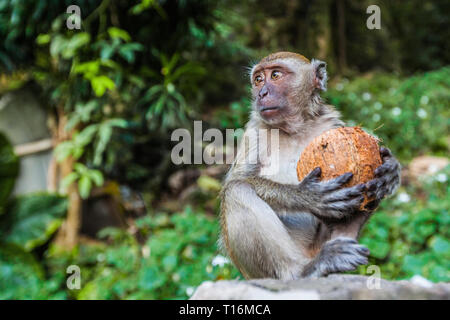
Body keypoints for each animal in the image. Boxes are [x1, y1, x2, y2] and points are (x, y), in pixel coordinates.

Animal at [220, 51, 400, 278]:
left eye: (275, 75)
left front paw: (391, 170)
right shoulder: (255, 130)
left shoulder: (331, 124)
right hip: (259, 272)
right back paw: (306, 270)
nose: (261, 93)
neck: (295, 127)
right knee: (237, 191)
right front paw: (308, 195)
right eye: (258, 79)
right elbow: (237, 180)